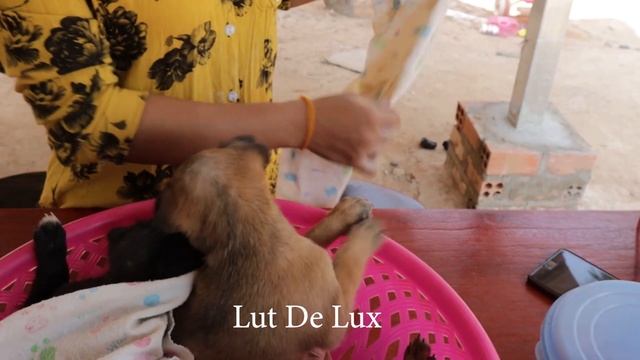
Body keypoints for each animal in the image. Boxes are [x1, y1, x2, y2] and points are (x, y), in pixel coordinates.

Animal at [157, 139, 382, 360]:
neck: (240, 230)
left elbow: (317, 233)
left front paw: (348, 212)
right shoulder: (335, 318)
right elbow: (350, 261)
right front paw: (366, 233)